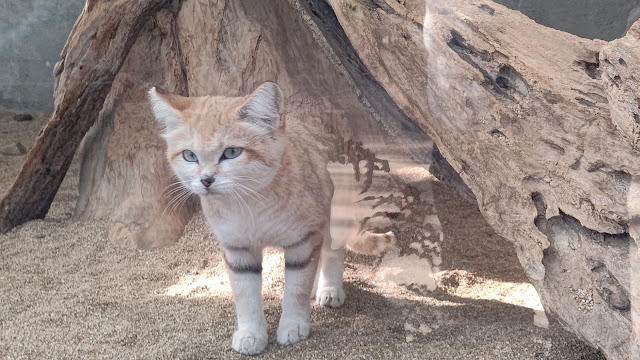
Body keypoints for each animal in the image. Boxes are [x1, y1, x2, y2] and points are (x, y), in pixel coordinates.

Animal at [148, 83, 344, 356]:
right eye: (189, 156)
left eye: (231, 152)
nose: (206, 180)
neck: (248, 204)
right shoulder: (237, 249)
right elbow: (245, 295)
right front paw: (251, 334)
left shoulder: (302, 241)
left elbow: (296, 289)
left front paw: (293, 325)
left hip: (333, 216)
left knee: (332, 251)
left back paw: (330, 289)